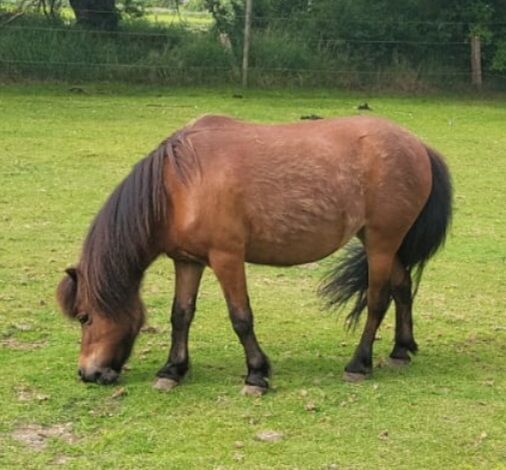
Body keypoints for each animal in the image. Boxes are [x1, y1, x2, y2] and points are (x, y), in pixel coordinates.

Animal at [57, 114, 452, 392]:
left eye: (85, 317)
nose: (88, 373)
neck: (180, 183)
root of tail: (419, 145)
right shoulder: (188, 261)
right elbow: (181, 315)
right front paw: (172, 370)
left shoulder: (227, 258)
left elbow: (241, 318)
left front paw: (257, 374)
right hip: (382, 243)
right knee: (402, 288)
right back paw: (401, 350)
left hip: (382, 243)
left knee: (378, 300)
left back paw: (359, 363)